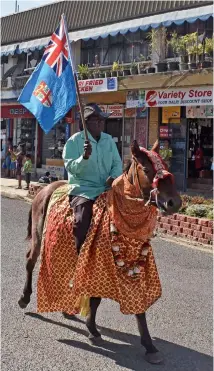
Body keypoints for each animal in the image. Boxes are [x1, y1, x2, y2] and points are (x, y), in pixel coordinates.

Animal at [18, 141, 182, 364]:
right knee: (30, 262)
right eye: (147, 170)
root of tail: (45, 190)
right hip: (38, 237)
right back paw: (24, 298)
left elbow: (138, 307)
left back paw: (67, 309)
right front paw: (92, 330)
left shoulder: (136, 266)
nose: (174, 202)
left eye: (166, 166)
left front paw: (149, 346)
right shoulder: (98, 263)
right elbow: (95, 299)